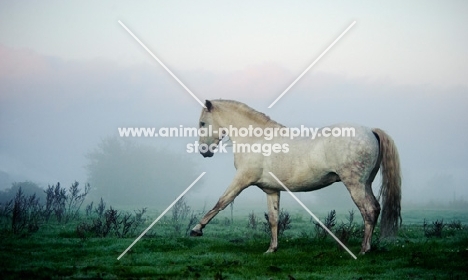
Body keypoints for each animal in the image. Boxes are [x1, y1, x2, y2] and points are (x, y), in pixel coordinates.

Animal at [188, 100, 400, 254]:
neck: (256, 140)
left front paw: (196, 229)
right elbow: (274, 219)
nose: (204, 151)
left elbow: (221, 202)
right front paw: (272, 249)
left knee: (369, 211)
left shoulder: (241, 180)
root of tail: (370, 130)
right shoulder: (272, 190)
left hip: (355, 185)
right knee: (375, 208)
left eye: (202, 123)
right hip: (366, 184)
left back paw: (364, 250)